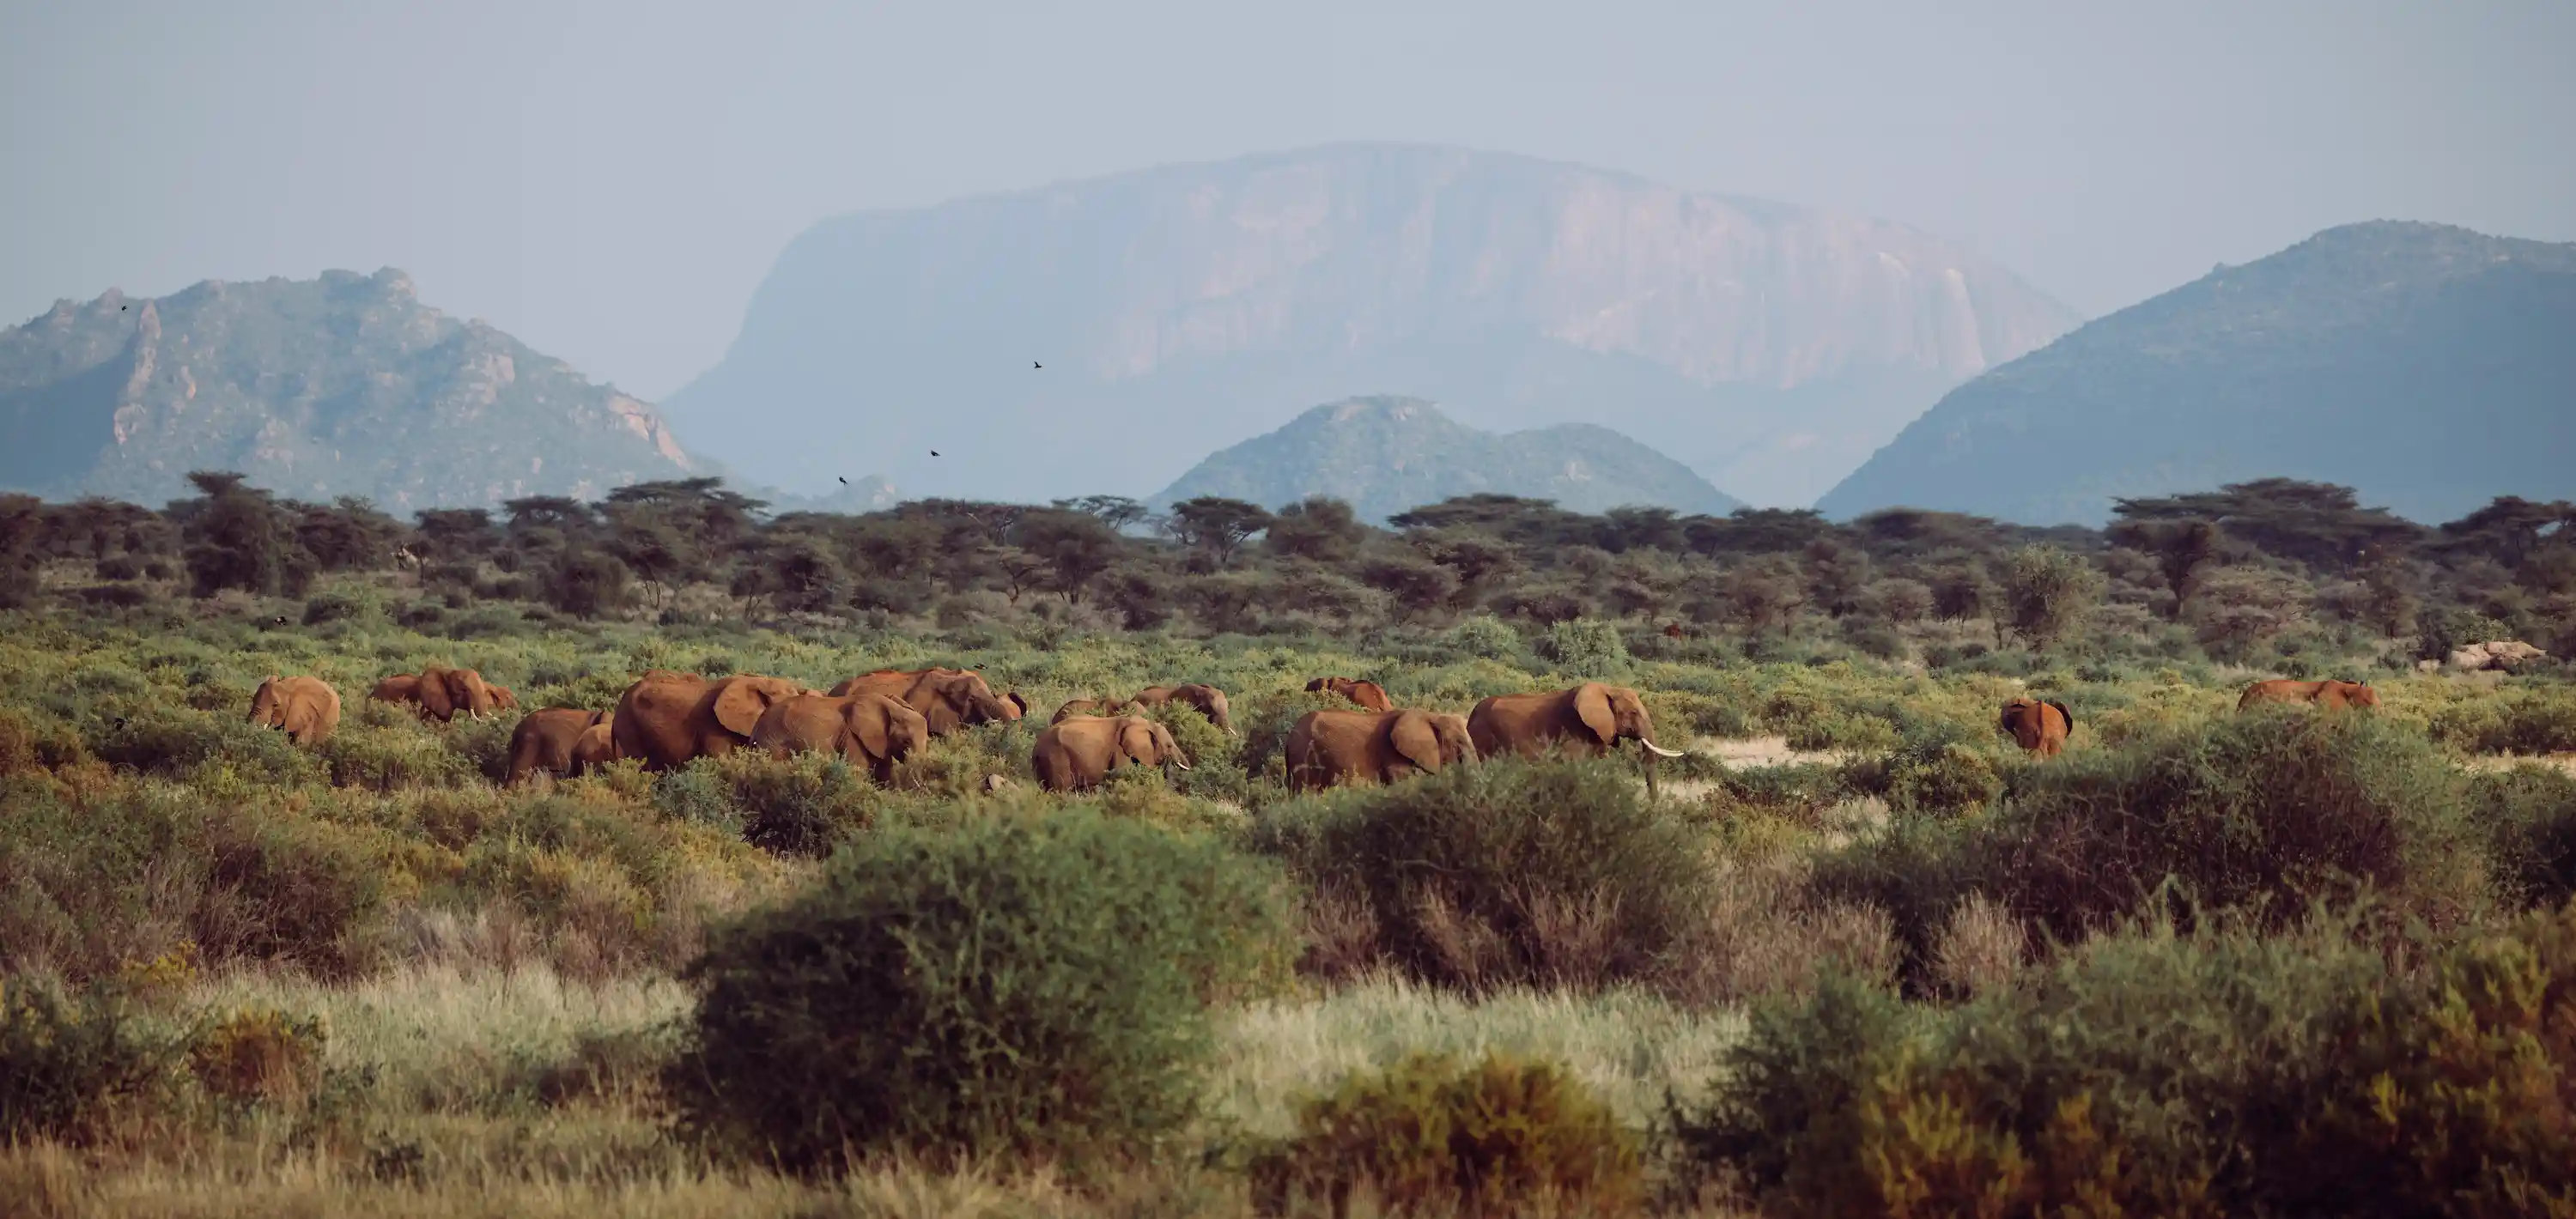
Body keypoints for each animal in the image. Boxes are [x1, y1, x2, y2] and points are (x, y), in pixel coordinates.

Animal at [751, 692, 930, 783]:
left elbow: (884, 772)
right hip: (772, 740)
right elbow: (858, 769)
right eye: (906, 741)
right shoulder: (852, 736)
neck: (892, 707)